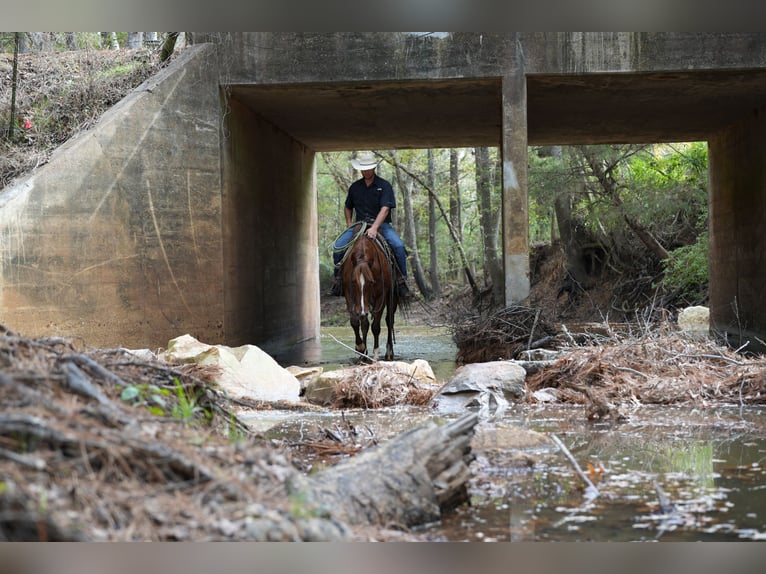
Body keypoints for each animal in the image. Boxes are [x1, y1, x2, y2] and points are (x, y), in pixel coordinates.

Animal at [342, 224, 402, 360]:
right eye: (354, 281)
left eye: (371, 282)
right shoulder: (349, 294)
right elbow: (356, 322)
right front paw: (361, 349)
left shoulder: (381, 296)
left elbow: (376, 326)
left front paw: (375, 353)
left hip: (392, 297)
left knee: (389, 320)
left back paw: (389, 352)